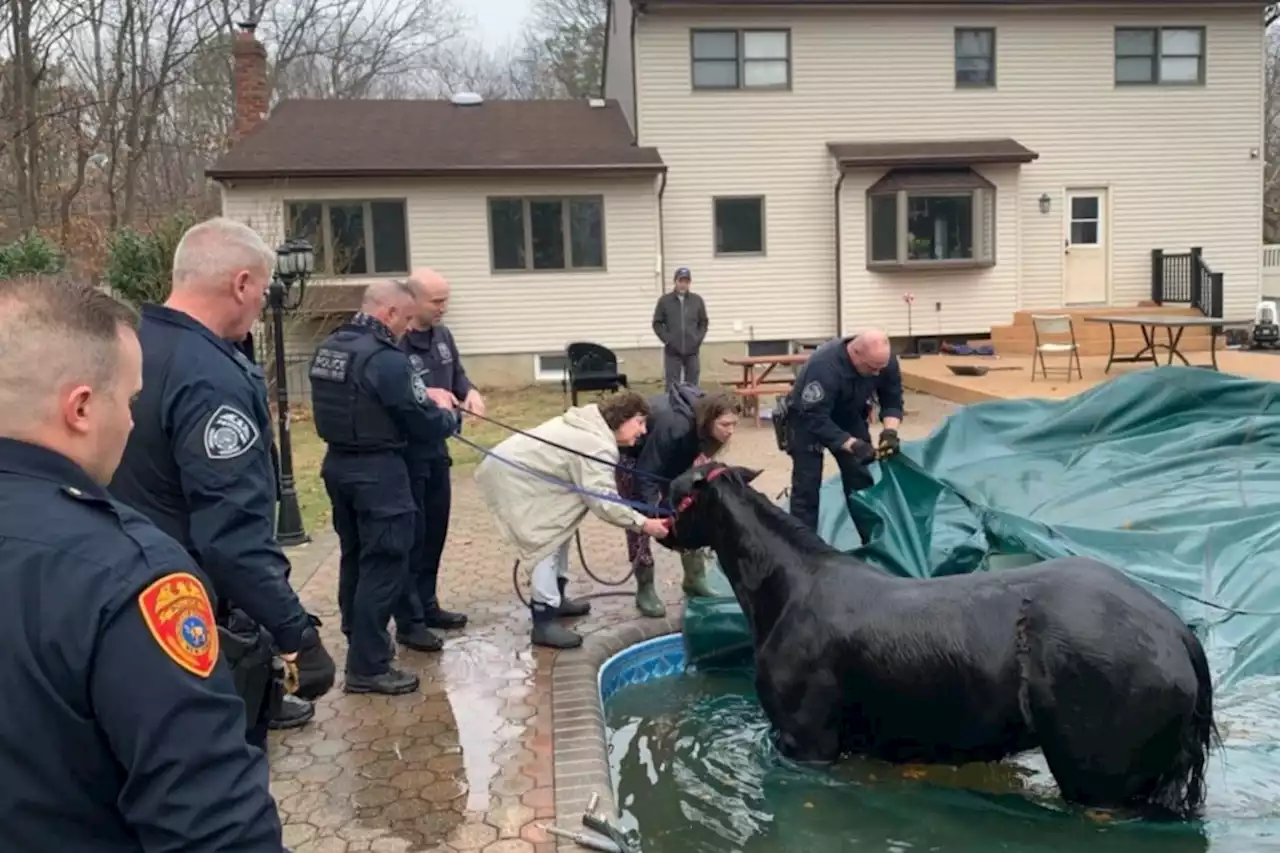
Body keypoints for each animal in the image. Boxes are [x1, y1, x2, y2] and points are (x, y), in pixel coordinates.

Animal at [660, 461, 1218, 819]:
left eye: (677, 493)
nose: (659, 522)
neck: (793, 588)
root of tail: (1175, 631)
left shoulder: (807, 743)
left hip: (1099, 785)